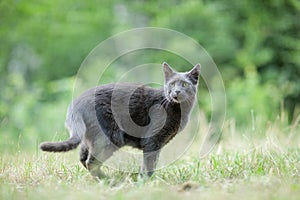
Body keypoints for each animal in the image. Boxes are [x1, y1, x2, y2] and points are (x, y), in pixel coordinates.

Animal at [39, 62, 199, 177]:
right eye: (172, 84)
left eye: (185, 84)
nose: (176, 91)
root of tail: (77, 103)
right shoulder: (152, 140)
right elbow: (149, 164)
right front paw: (147, 181)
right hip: (112, 137)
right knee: (91, 162)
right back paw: (109, 180)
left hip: (90, 137)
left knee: (83, 158)